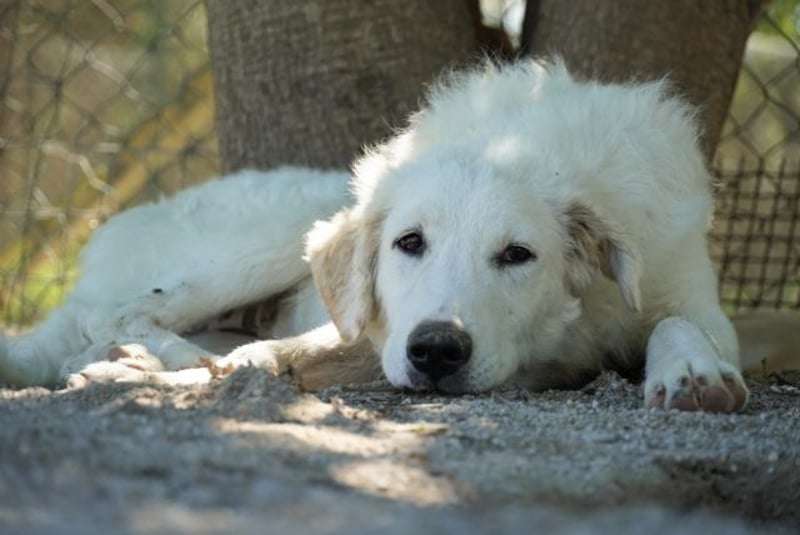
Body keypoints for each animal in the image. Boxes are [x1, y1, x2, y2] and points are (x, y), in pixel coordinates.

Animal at [3, 60, 792, 411]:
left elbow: (679, 324)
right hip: (276, 234)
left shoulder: (688, 294)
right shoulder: (369, 328)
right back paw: (140, 356)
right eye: (409, 243)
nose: (437, 350)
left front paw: (692, 372)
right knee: (125, 314)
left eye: (518, 254)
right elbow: (272, 358)